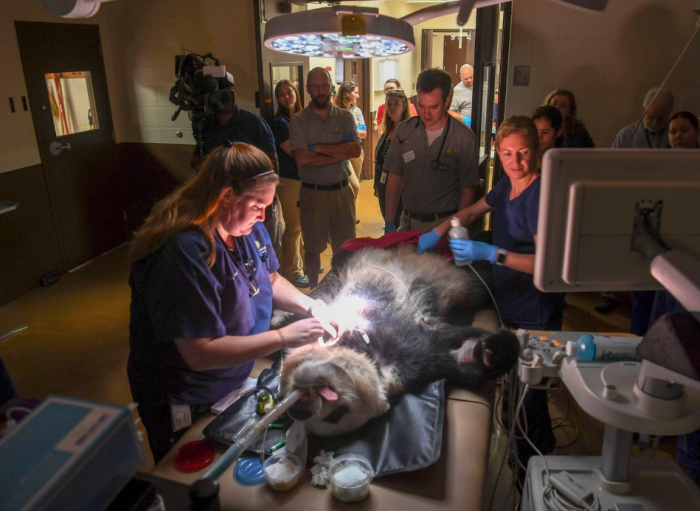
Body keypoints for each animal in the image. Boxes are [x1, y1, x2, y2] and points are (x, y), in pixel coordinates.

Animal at [274, 246, 520, 438]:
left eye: (338, 413)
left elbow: (450, 352)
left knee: (477, 281)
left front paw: (491, 350)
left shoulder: (406, 351)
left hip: (455, 283)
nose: (299, 410)